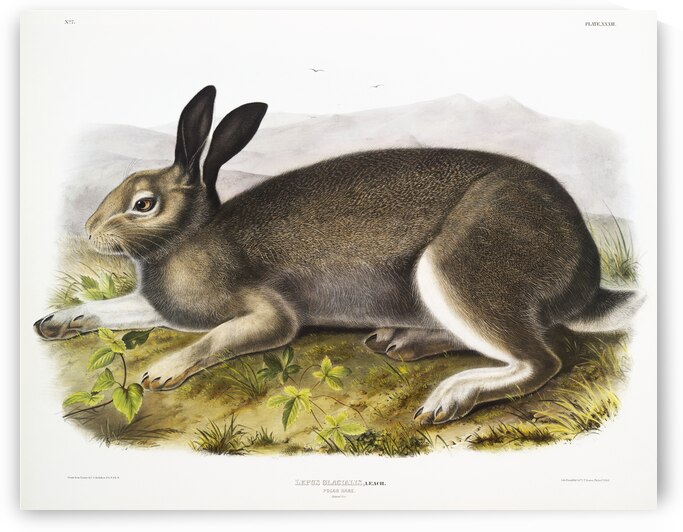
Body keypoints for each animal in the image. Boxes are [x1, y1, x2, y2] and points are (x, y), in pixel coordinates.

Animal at [33, 86, 643, 425]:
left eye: (143, 203)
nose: (90, 231)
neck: (191, 235)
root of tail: (585, 278)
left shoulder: (269, 313)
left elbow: (222, 338)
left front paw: (161, 373)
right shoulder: (156, 307)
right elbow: (116, 310)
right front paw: (55, 322)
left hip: (457, 269)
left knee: (540, 360)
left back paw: (447, 396)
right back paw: (399, 342)